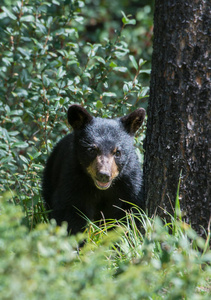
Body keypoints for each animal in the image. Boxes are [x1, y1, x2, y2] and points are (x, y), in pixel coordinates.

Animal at [42, 105, 146, 234]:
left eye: (117, 152)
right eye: (92, 150)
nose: (104, 175)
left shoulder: (129, 182)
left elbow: (132, 211)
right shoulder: (73, 179)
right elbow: (69, 212)